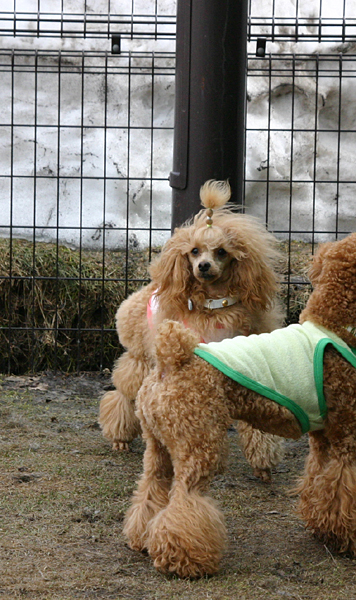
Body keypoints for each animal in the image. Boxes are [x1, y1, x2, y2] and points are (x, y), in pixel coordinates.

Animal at [98, 179, 286, 482]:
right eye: (194, 251)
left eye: (221, 251)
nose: (203, 266)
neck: (214, 305)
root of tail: (152, 285)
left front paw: (263, 464)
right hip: (140, 357)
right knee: (124, 393)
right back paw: (120, 437)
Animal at [124, 233, 356, 576]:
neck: (333, 325)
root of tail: (172, 359)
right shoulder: (345, 437)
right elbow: (343, 488)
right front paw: (346, 539)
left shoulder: (323, 438)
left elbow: (319, 482)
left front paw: (322, 528)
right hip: (199, 442)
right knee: (186, 498)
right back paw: (185, 559)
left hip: (157, 446)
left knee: (151, 488)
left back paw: (141, 537)